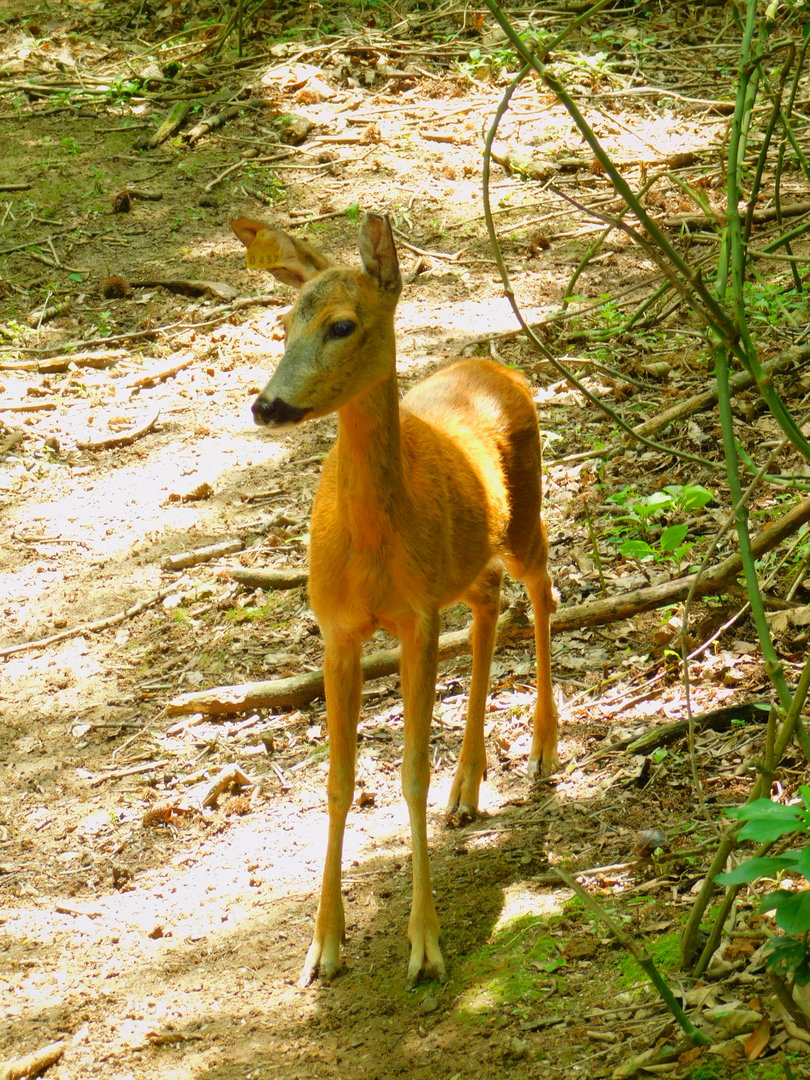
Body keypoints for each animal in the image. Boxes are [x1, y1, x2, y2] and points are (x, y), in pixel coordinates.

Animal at [230, 213, 557, 988]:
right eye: (284, 322)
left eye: (343, 325)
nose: (267, 404)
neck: (373, 548)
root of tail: (501, 368)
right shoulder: (337, 627)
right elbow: (338, 780)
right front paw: (323, 947)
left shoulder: (414, 617)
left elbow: (409, 773)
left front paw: (425, 946)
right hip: (465, 562)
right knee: (490, 604)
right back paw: (469, 787)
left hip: (524, 517)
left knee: (544, 591)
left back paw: (540, 750)